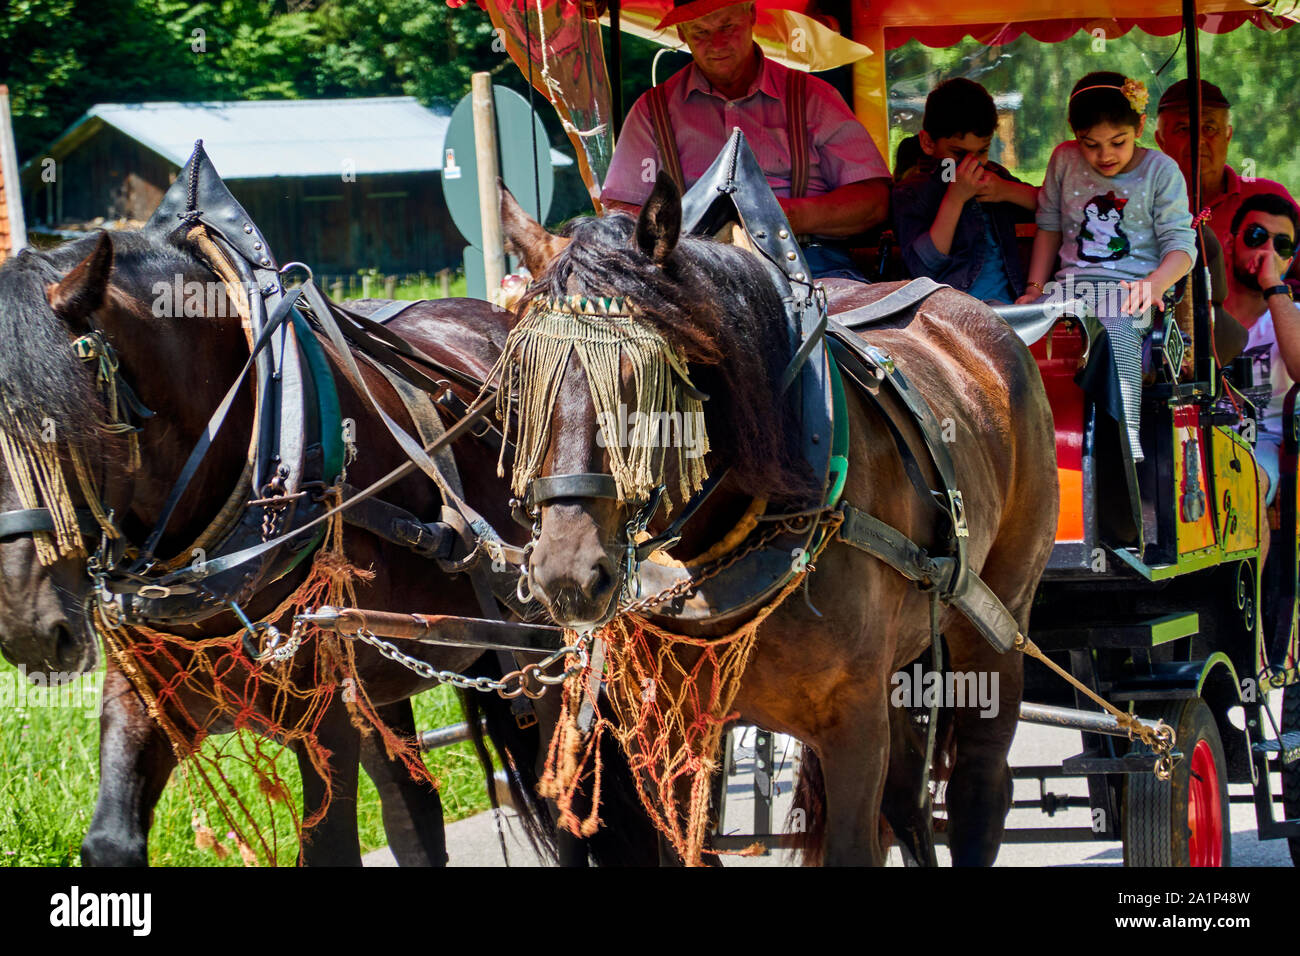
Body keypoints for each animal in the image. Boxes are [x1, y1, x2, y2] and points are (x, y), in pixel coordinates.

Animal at [0, 230, 650, 868]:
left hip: (545, 643)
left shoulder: (323, 711)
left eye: (68, 425)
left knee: (562, 791)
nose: (27, 629)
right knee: (414, 811)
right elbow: (109, 840)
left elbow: (329, 845)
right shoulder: (145, 690)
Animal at [501, 178, 1060, 868]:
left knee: (980, 787)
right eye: (520, 381)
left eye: (643, 381)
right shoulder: (670, 734)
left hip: (997, 619)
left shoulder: (854, 726)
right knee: (909, 801)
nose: (568, 576)